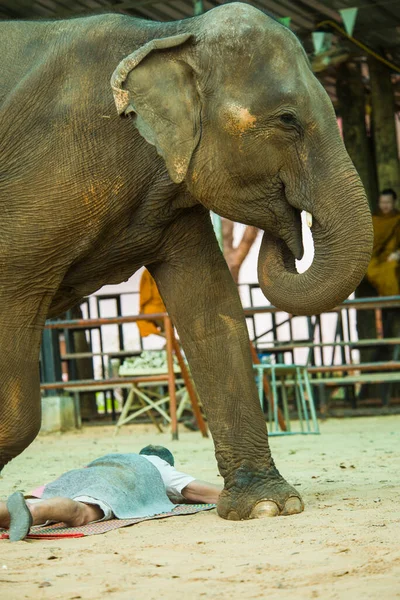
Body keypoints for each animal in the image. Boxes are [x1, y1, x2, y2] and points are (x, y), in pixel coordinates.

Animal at [0, 3, 372, 520]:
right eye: (287, 120)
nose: (288, 234)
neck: (168, 35)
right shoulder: (40, 174)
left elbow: (212, 311)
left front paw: (267, 506)